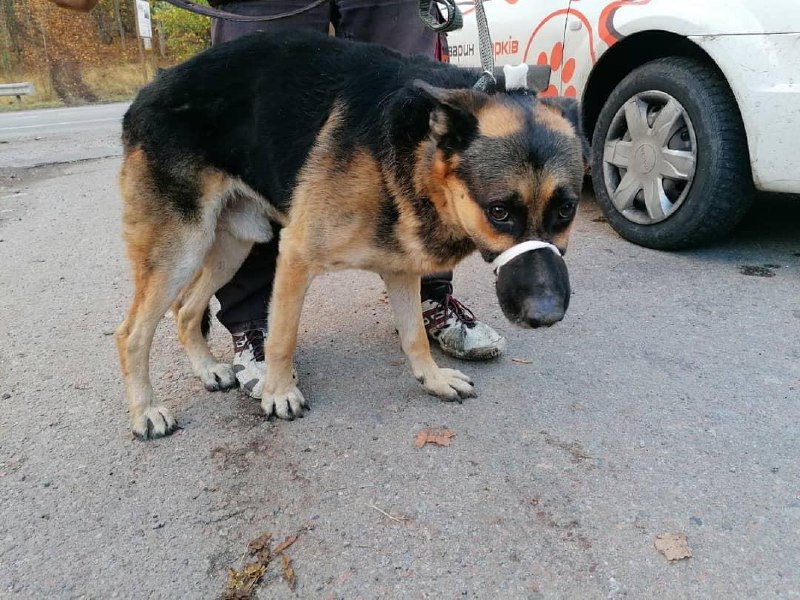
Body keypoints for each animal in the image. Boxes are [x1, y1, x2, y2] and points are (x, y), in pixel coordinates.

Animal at [114, 28, 588, 438]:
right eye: (499, 212)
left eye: (567, 209)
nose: (547, 316)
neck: (418, 149)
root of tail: (145, 93)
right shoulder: (296, 255)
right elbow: (282, 336)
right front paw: (279, 392)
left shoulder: (402, 269)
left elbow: (415, 335)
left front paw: (432, 379)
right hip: (182, 248)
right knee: (132, 333)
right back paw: (147, 412)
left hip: (234, 244)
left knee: (186, 309)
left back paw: (206, 369)